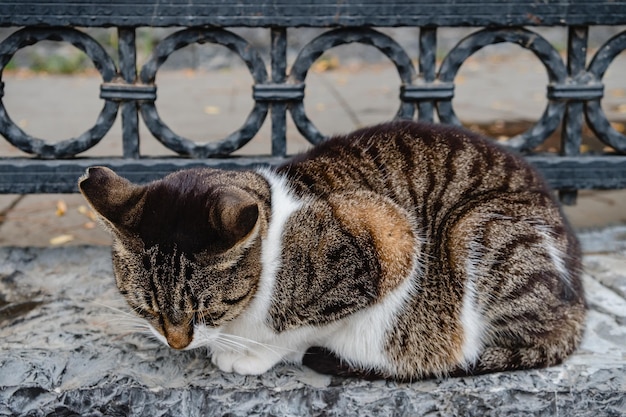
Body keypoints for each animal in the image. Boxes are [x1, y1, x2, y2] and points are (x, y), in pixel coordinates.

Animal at [79, 119, 584, 380]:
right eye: (146, 307)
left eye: (206, 309)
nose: (177, 342)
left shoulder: (388, 238)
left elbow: (296, 330)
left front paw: (251, 354)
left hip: (478, 231)